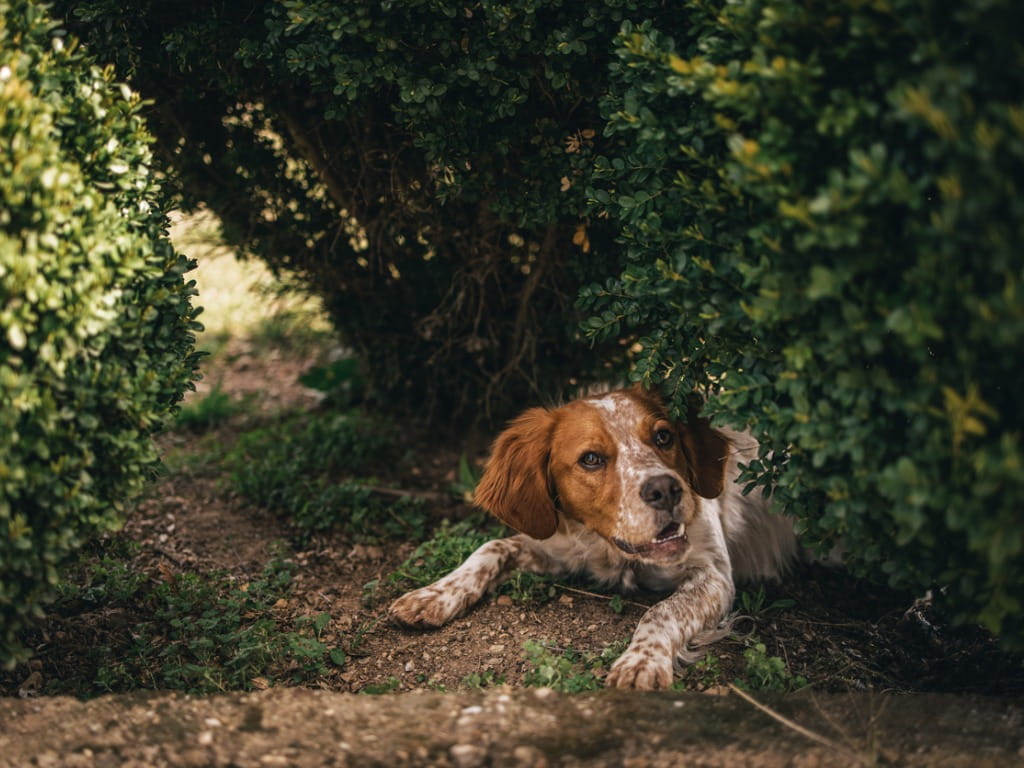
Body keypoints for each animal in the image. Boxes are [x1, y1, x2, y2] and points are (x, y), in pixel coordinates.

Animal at [387, 387, 794, 688]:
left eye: (664, 436)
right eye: (591, 459)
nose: (666, 490)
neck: (608, 548)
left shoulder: (714, 574)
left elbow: (663, 610)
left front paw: (641, 663)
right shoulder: (554, 545)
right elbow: (491, 547)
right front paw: (433, 595)